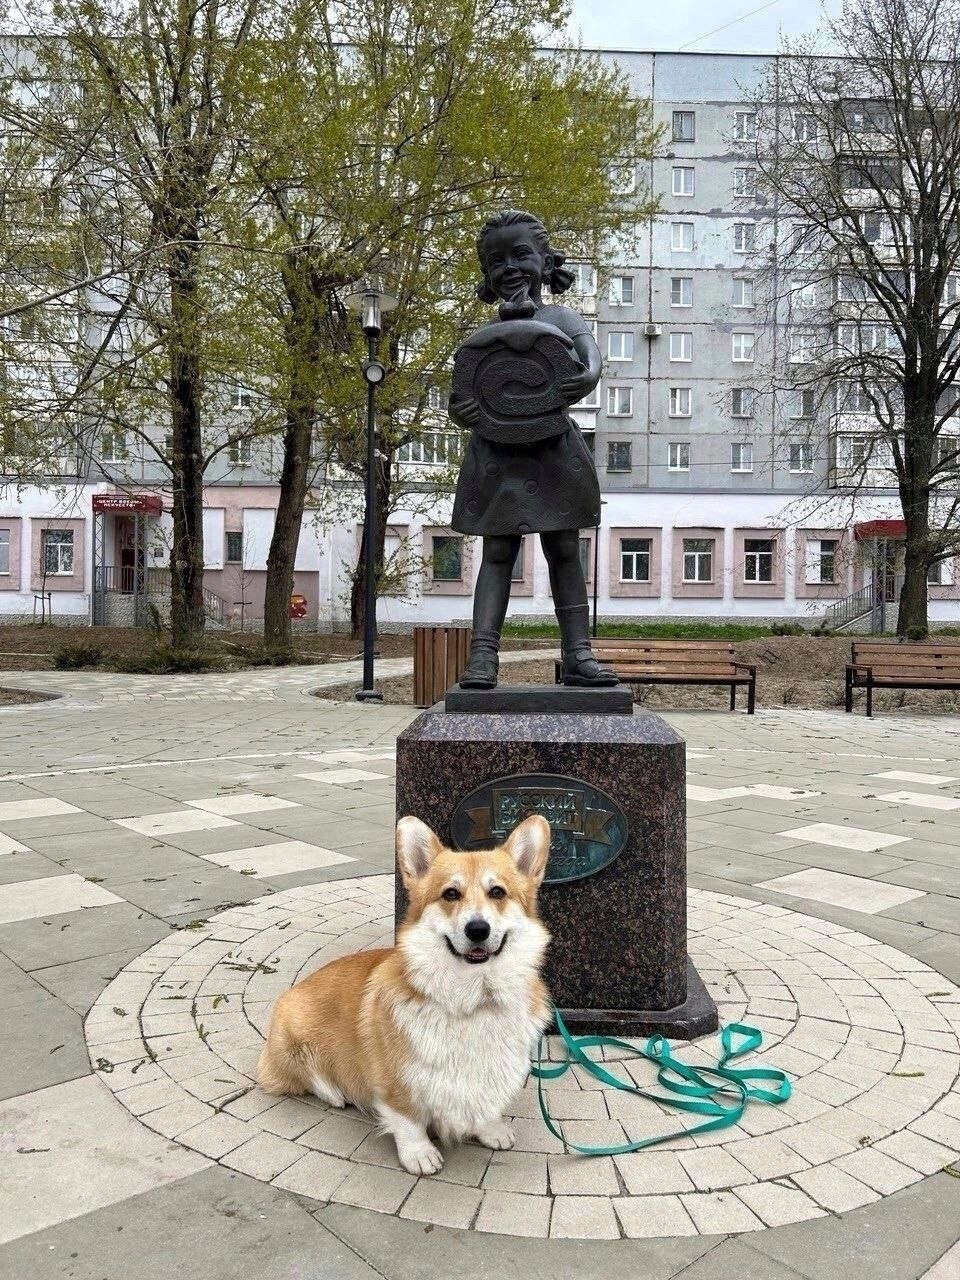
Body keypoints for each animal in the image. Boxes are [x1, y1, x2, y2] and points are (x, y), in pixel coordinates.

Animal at [259, 814, 552, 1172]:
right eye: (450, 894)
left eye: (497, 892)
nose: (477, 930)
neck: (473, 997)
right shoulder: (394, 1080)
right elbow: (408, 1119)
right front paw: (420, 1154)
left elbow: (484, 1105)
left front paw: (490, 1128)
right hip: (291, 1039)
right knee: (304, 1078)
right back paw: (336, 1093)